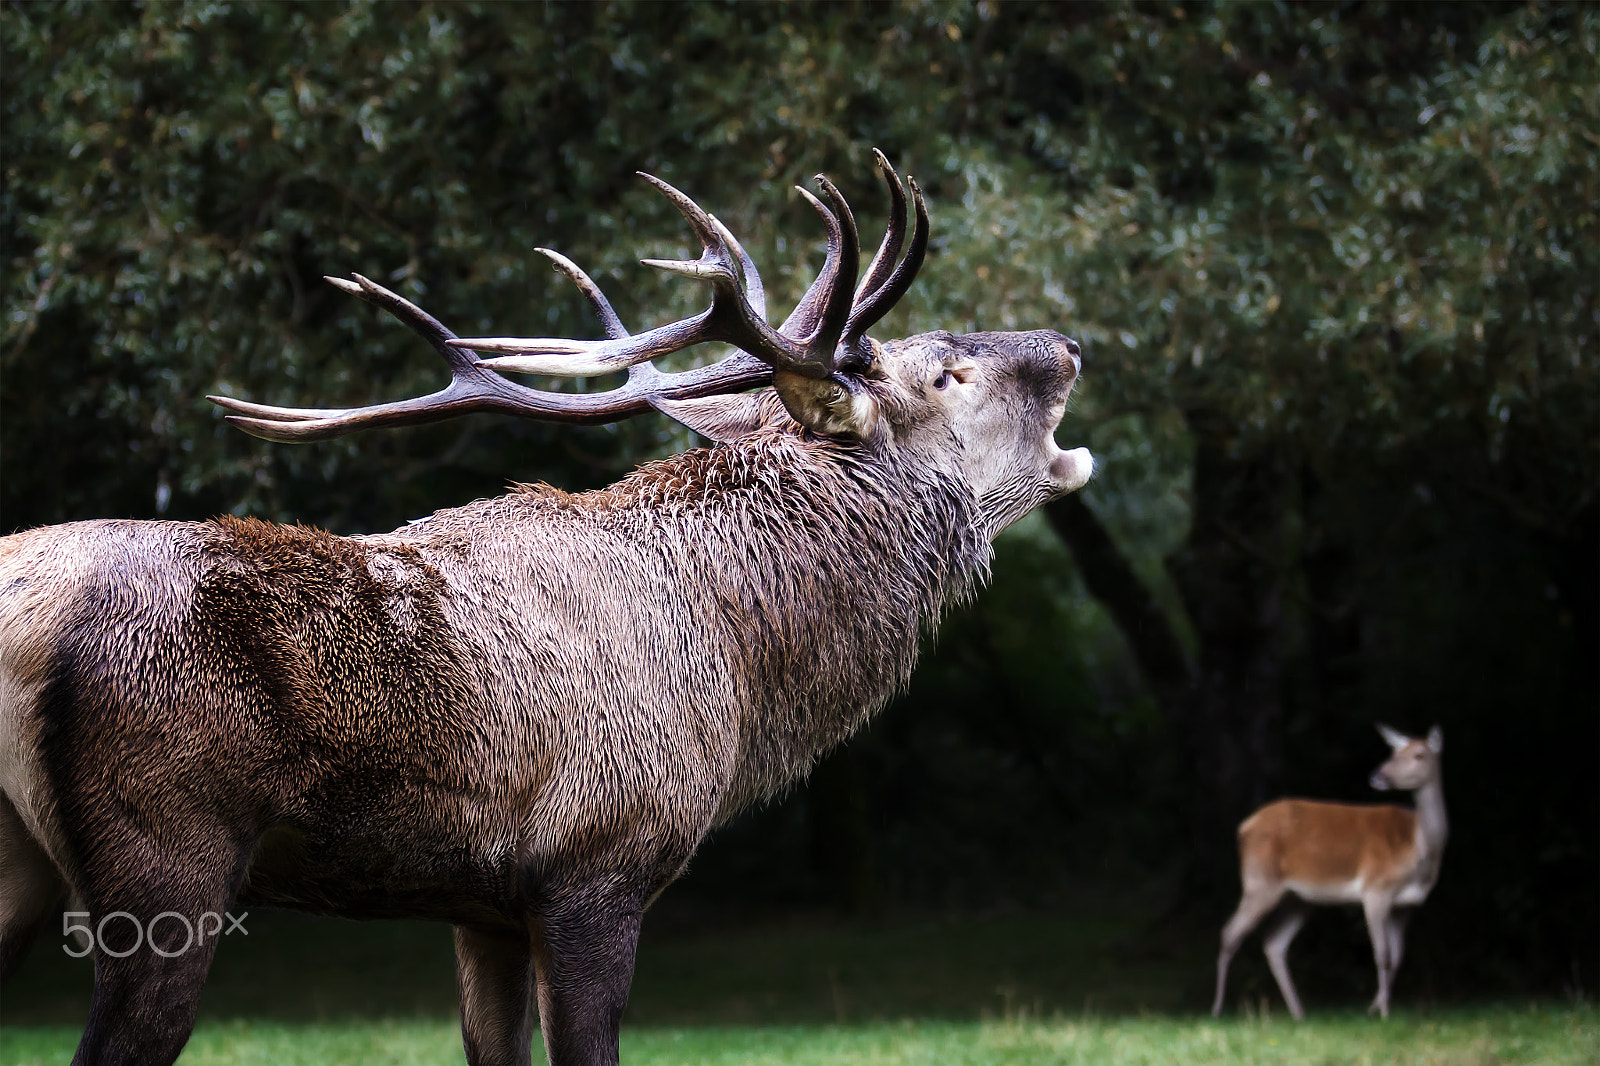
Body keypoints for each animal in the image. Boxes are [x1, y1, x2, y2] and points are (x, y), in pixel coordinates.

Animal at [0, 156, 1094, 1062]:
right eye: (946, 373)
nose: (1071, 343)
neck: (740, 670)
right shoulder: (595, 865)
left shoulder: (482, 906)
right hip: (165, 856)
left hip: (30, 868)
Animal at [1209, 723, 1452, 1011]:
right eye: (1393, 752)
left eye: (1418, 755)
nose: (1378, 774)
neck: (1417, 854)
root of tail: (1244, 827)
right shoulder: (1375, 889)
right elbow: (1382, 955)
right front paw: (1383, 1012)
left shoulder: (1407, 905)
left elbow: (1397, 957)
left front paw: (1374, 1009)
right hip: (1259, 881)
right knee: (1229, 933)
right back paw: (1217, 1008)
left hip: (1298, 899)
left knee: (1274, 943)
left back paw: (1298, 1011)